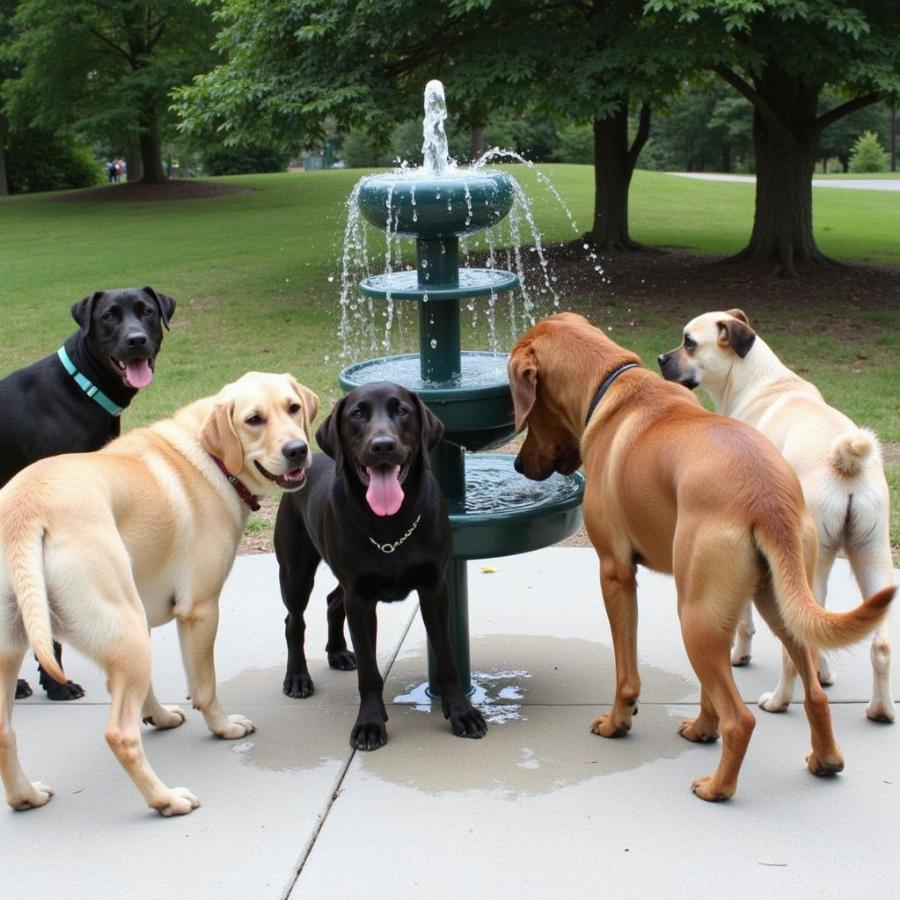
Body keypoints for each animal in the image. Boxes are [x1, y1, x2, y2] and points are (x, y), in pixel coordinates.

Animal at [0, 370, 318, 816]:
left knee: (4, 733)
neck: (210, 457)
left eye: (293, 408)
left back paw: (25, 796)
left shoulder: (145, 614)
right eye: (254, 420)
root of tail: (25, 513)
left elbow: (149, 690)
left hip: (38, 648)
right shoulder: (200, 610)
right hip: (125, 630)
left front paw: (160, 717)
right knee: (120, 735)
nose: (298, 450)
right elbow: (205, 687)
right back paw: (166, 799)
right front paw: (222, 727)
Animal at [274, 384, 486, 748]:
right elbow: (370, 673)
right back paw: (298, 677)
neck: (389, 526)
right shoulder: (360, 598)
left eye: (402, 411)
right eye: (357, 413)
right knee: (294, 620)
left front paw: (462, 712)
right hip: (295, 571)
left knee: (333, 601)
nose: (382, 445)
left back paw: (337, 652)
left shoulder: (433, 588)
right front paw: (370, 723)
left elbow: (446, 659)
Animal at [656, 312, 896, 720]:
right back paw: (879, 709)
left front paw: (739, 655)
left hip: (804, 568)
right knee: (877, 644)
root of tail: (847, 464)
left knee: (798, 641)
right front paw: (825, 673)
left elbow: (744, 619)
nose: (658, 358)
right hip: (872, 557)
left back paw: (780, 700)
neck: (755, 379)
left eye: (689, 342)